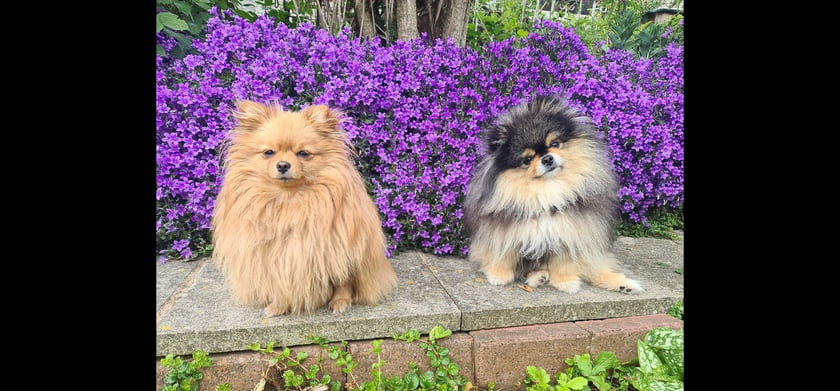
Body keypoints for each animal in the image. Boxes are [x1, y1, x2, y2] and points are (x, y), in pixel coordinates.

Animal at [208, 99, 396, 316]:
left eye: (303, 153)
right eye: (268, 153)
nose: (282, 165)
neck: (289, 201)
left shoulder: (340, 251)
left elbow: (343, 281)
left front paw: (340, 301)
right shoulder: (276, 258)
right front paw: (279, 306)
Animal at [466, 95, 644, 296]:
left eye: (554, 144)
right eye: (527, 160)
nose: (547, 158)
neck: (549, 190)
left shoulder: (569, 235)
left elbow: (564, 263)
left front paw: (566, 282)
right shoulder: (505, 232)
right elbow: (503, 255)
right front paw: (499, 276)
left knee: (597, 269)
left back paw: (624, 284)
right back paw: (539, 277)